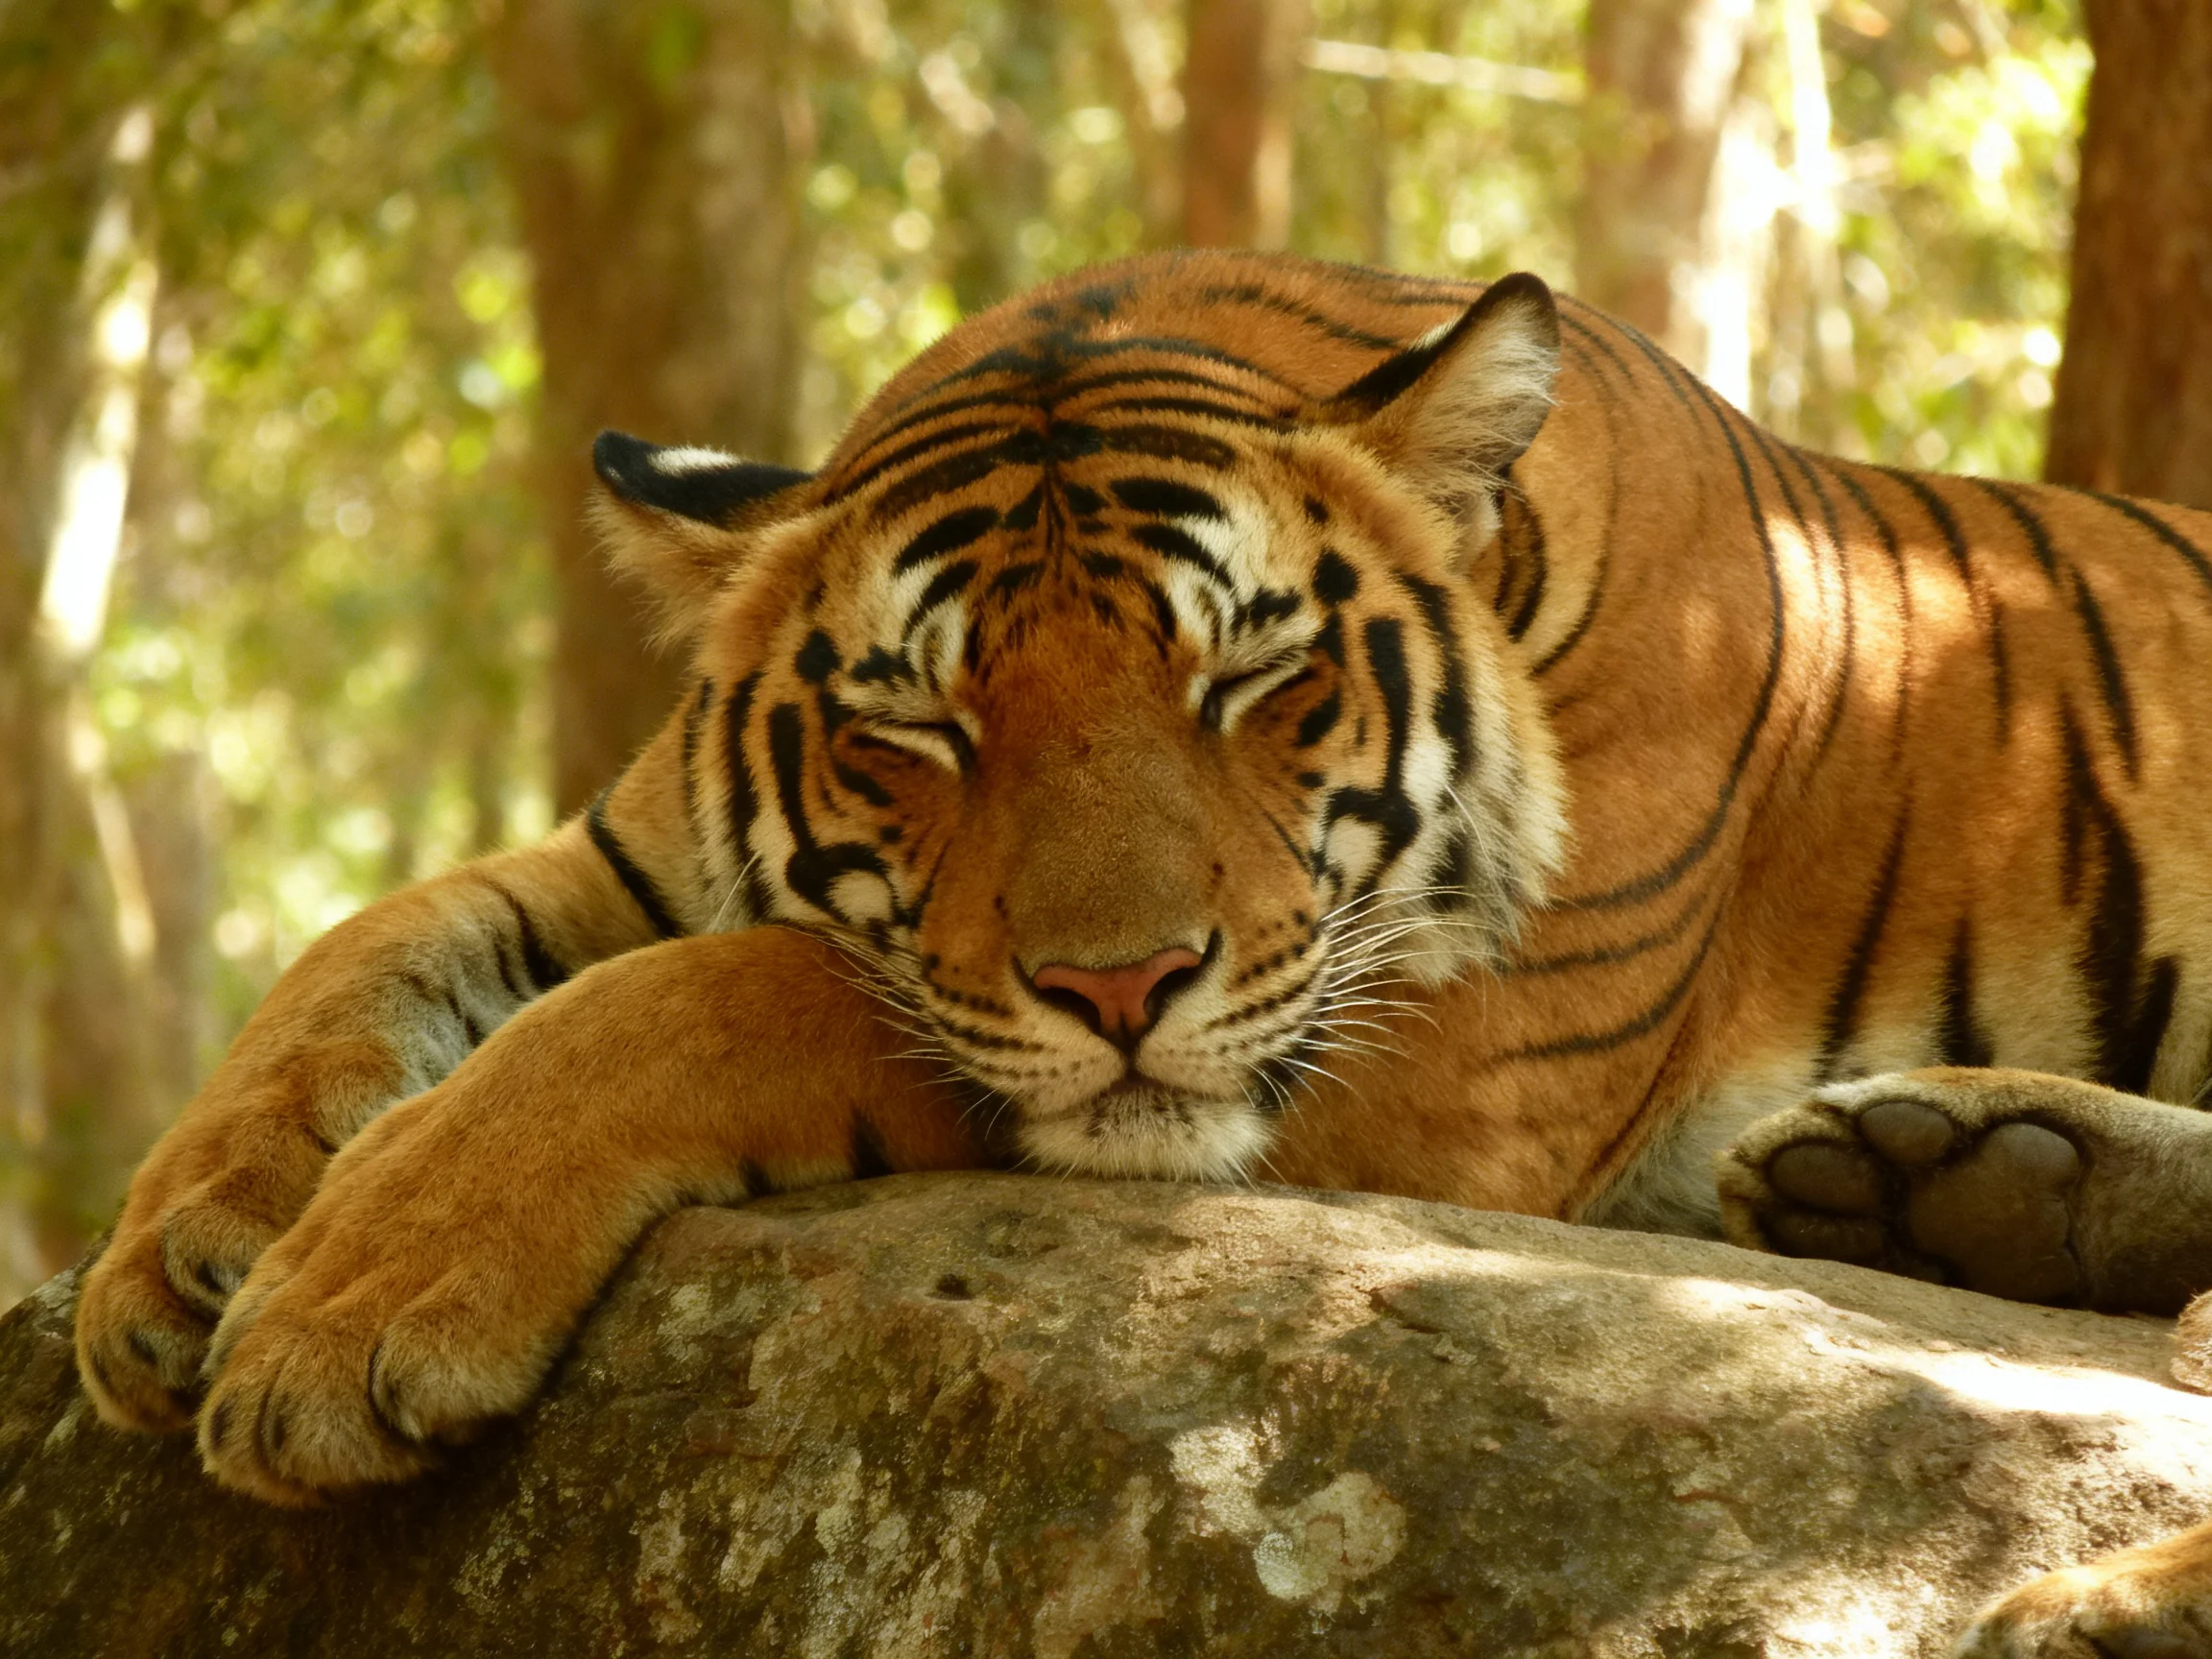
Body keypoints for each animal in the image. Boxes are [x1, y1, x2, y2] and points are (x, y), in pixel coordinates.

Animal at [68, 248, 2212, 1654]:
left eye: (1255, 684)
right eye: (915, 729)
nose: (1119, 993)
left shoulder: (1442, 1060)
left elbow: (744, 991)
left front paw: (343, 1304)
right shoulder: (628, 847)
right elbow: (371, 939)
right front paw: (171, 1256)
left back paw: (2089, 1584)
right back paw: (1950, 1175)